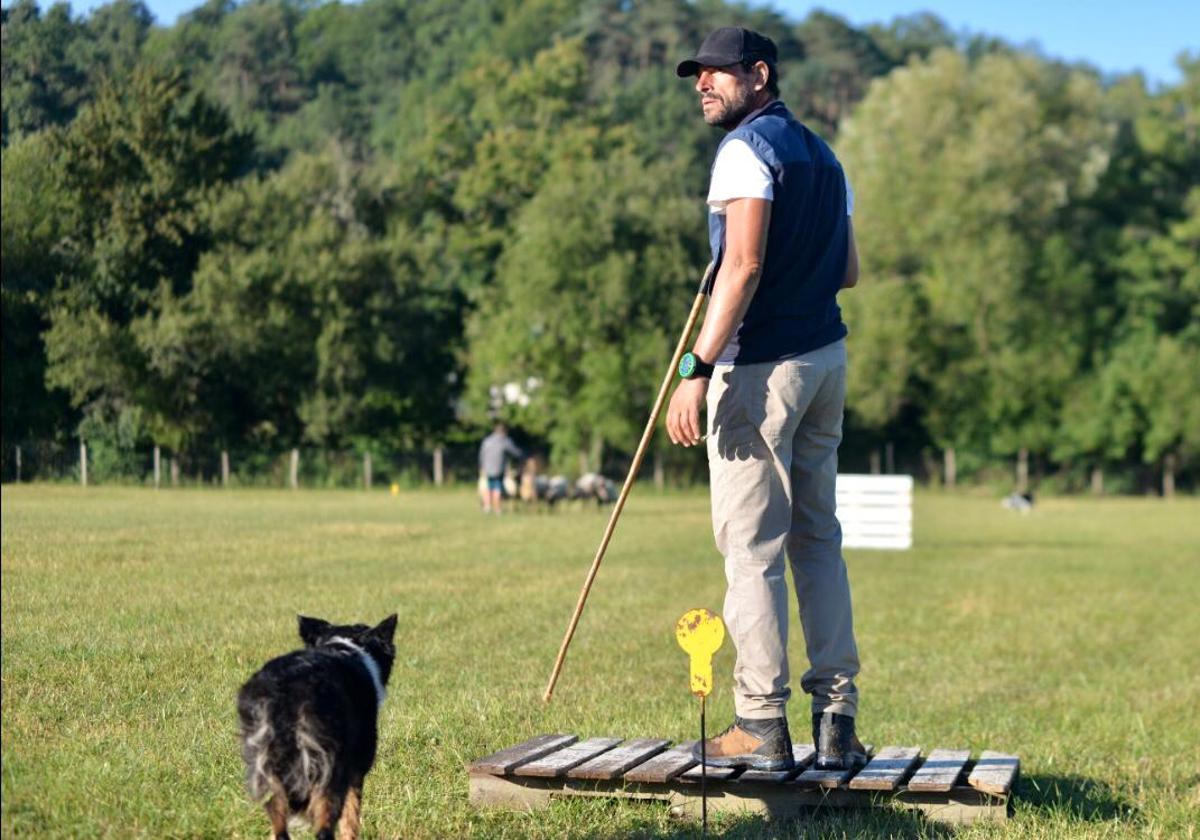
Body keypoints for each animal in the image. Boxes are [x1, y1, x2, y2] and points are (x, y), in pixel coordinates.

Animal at [237, 609, 398, 840]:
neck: (344, 645)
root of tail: (286, 691)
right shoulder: (355, 771)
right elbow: (351, 821)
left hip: (266, 765)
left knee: (279, 828)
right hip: (328, 769)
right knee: (324, 829)